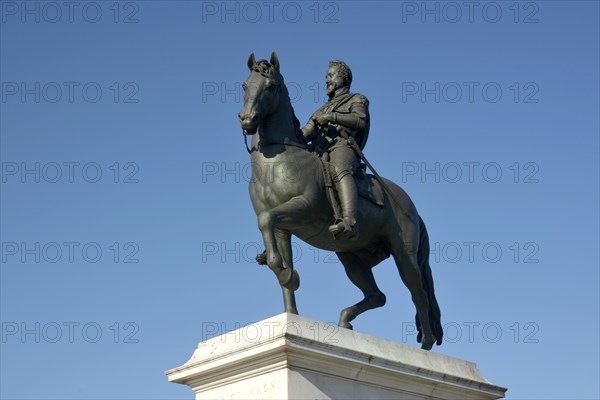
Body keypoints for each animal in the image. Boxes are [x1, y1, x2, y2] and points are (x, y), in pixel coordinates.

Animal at [237, 52, 442, 350]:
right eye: (245, 85)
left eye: (271, 86)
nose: (247, 119)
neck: (278, 161)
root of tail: (412, 208)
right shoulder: (283, 228)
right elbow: (278, 258)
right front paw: (291, 308)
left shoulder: (302, 209)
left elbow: (267, 221)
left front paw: (290, 278)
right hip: (351, 256)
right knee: (378, 295)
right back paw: (345, 320)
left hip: (404, 254)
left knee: (419, 292)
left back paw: (425, 345)